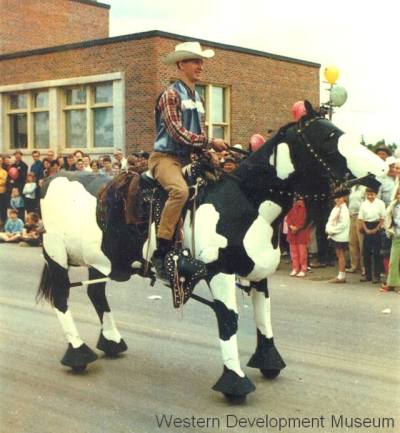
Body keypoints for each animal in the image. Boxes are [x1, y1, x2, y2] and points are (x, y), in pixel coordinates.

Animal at [37, 110, 388, 402]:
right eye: (328, 136)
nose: (382, 170)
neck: (245, 199)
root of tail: (50, 178)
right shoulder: (220, 274)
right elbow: (229, 321)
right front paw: (235, 383)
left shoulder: (259, 275)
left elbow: (264, 316)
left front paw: (269, 362)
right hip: (56, 256)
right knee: (62, 299)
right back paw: (78, 354)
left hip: (101, 262)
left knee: (97, 294)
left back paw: (111, 342)